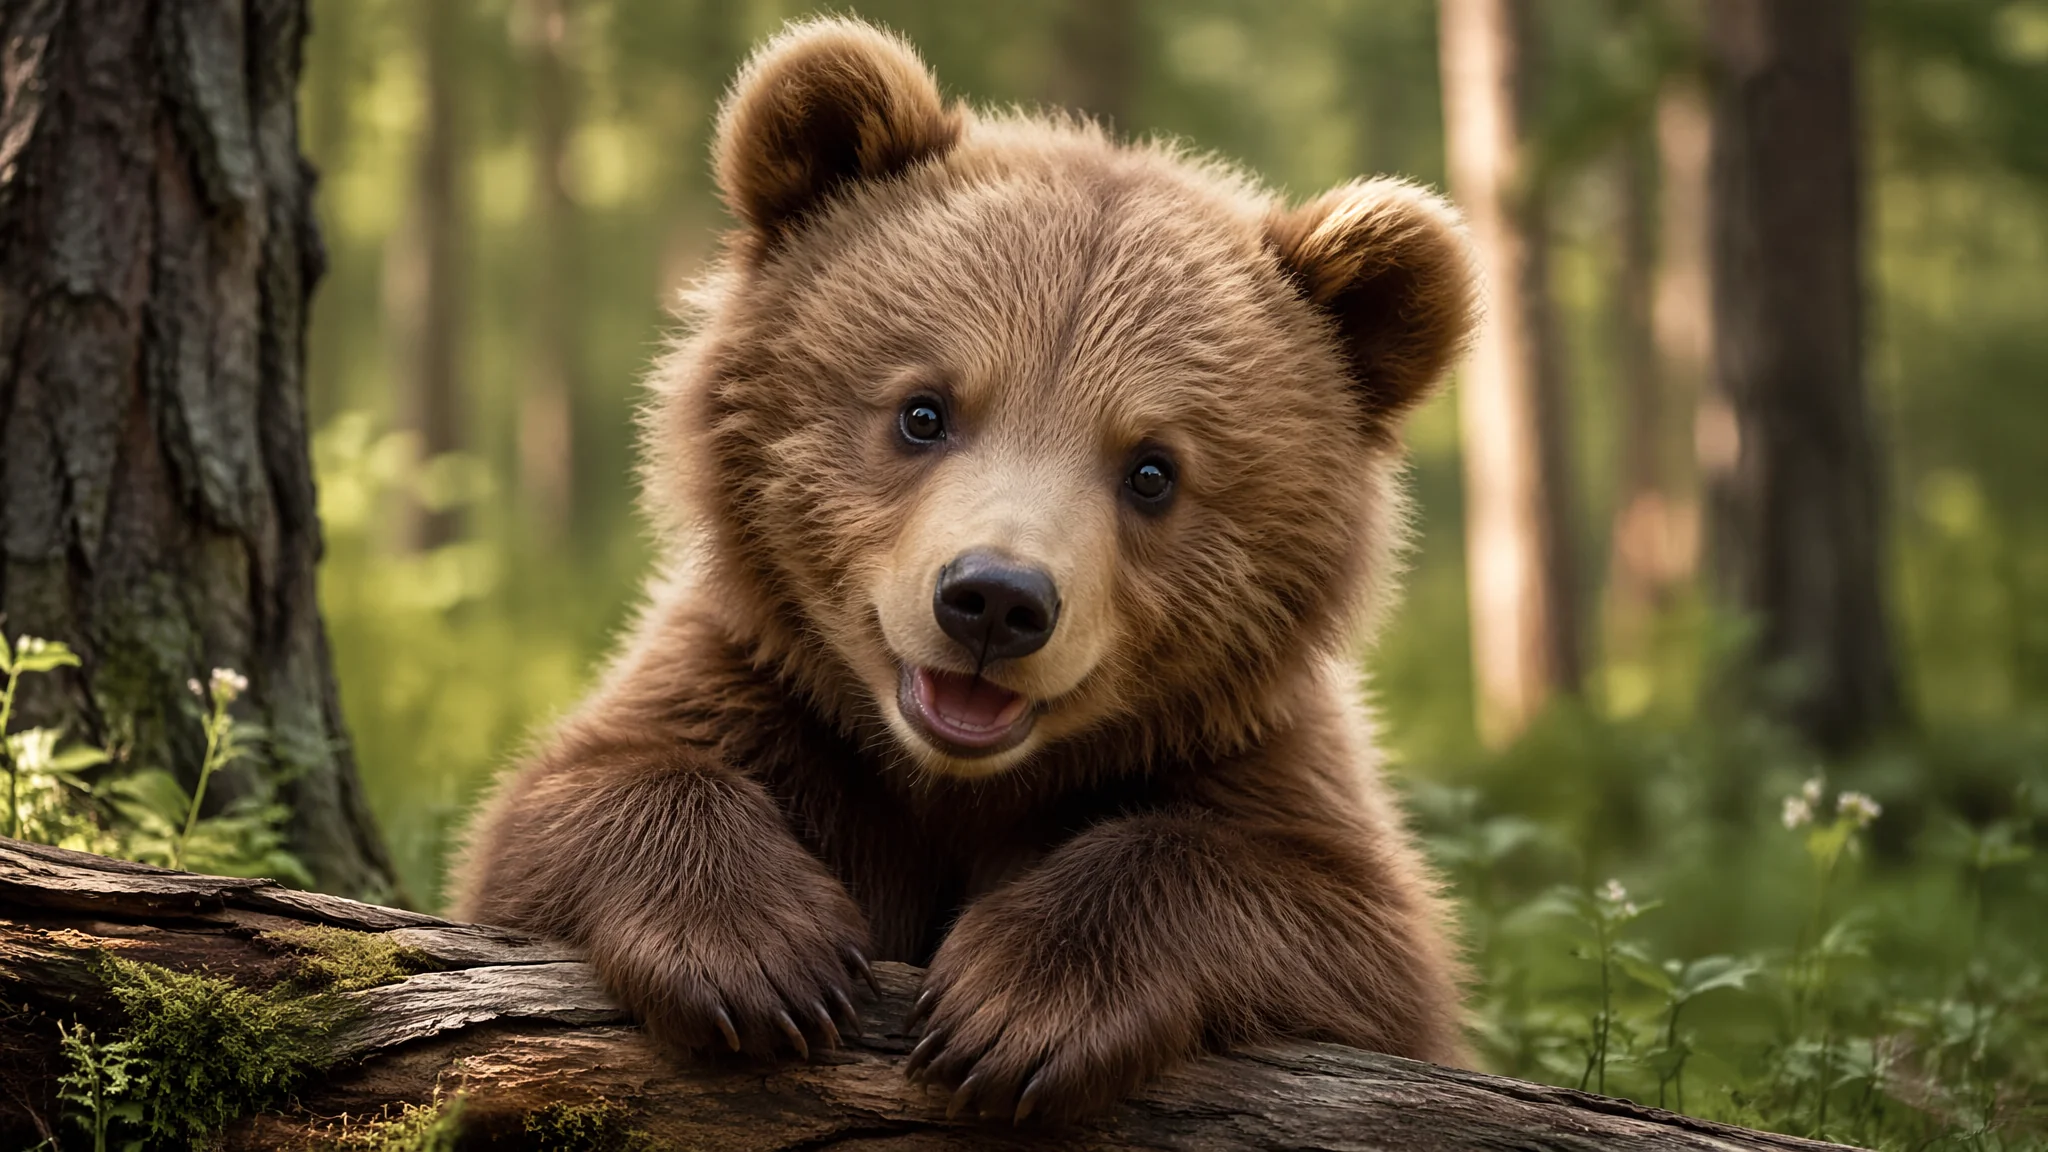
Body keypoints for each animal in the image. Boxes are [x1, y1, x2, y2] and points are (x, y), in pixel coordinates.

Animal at [453, 16, 1479, 1123]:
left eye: (1153, 469)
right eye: (923, 410)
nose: (995, 600)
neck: (955, 785)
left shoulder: (1245, 758)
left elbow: (1347, 928)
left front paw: (1015, 1008)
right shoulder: (770, 697)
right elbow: (565, 805)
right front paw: (762, 960)